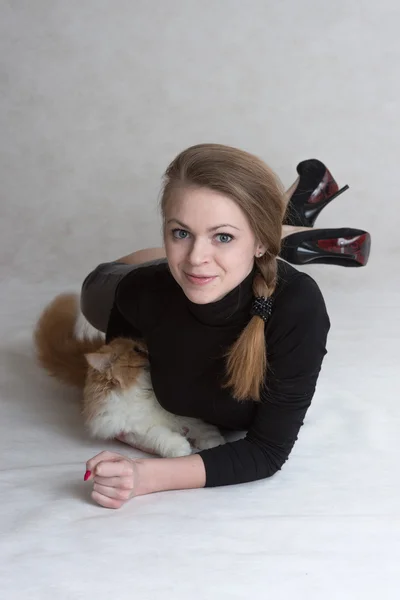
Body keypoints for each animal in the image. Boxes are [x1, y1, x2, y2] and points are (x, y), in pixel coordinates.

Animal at [32, 292, 225, 458]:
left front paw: (212, 440)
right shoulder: (133, 430)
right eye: (137, 350)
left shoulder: (175, 413)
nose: (149, 347)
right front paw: (180, 448)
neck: (139, 393)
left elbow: (197, 425)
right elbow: (160, 436)